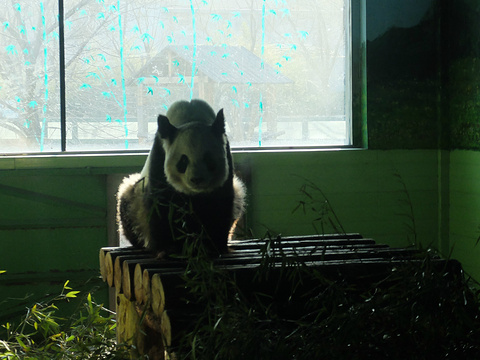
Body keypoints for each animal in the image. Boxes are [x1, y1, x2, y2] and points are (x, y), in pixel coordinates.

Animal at [115, 99, 244, 256]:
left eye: (208, 159)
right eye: (183, 161)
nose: (196, 179)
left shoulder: (226, 161)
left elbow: (219, 204)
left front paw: (214, 246)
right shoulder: (159, 157)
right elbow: (161, 204)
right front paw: (166, 247)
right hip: (134, 201)